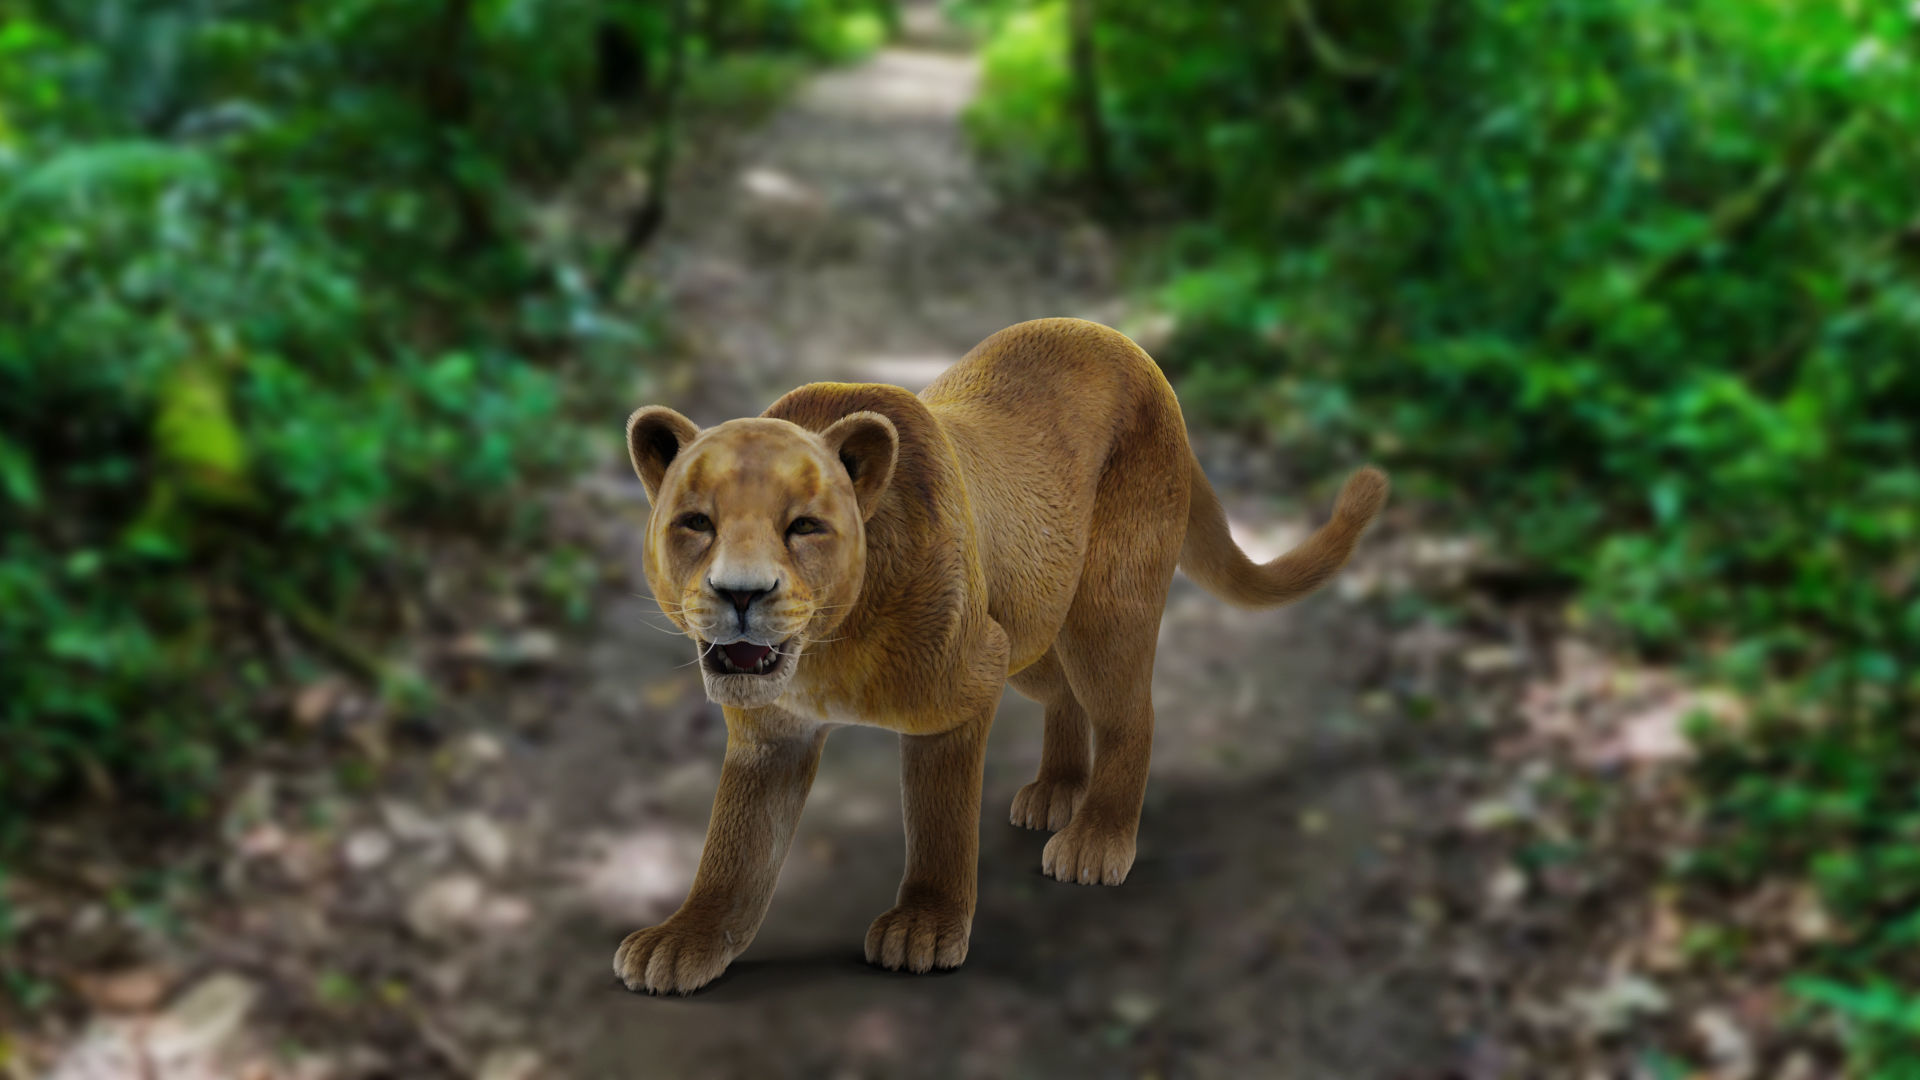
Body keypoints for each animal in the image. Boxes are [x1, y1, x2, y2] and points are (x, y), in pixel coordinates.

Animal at [615, 317, 1387, 994]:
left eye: (805, 527)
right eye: (696, 522)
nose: (741, 593)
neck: (829, 646)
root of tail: (1125, 345)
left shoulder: (964, 688)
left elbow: (940, 819)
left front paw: (925, 925)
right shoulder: (773, 734)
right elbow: (736, 846)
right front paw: (685, 938)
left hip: (1103, 610)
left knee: (1131, 714)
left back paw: (1098, 837)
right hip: (1030, 633)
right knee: (1067, 697)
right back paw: (1057, 790)